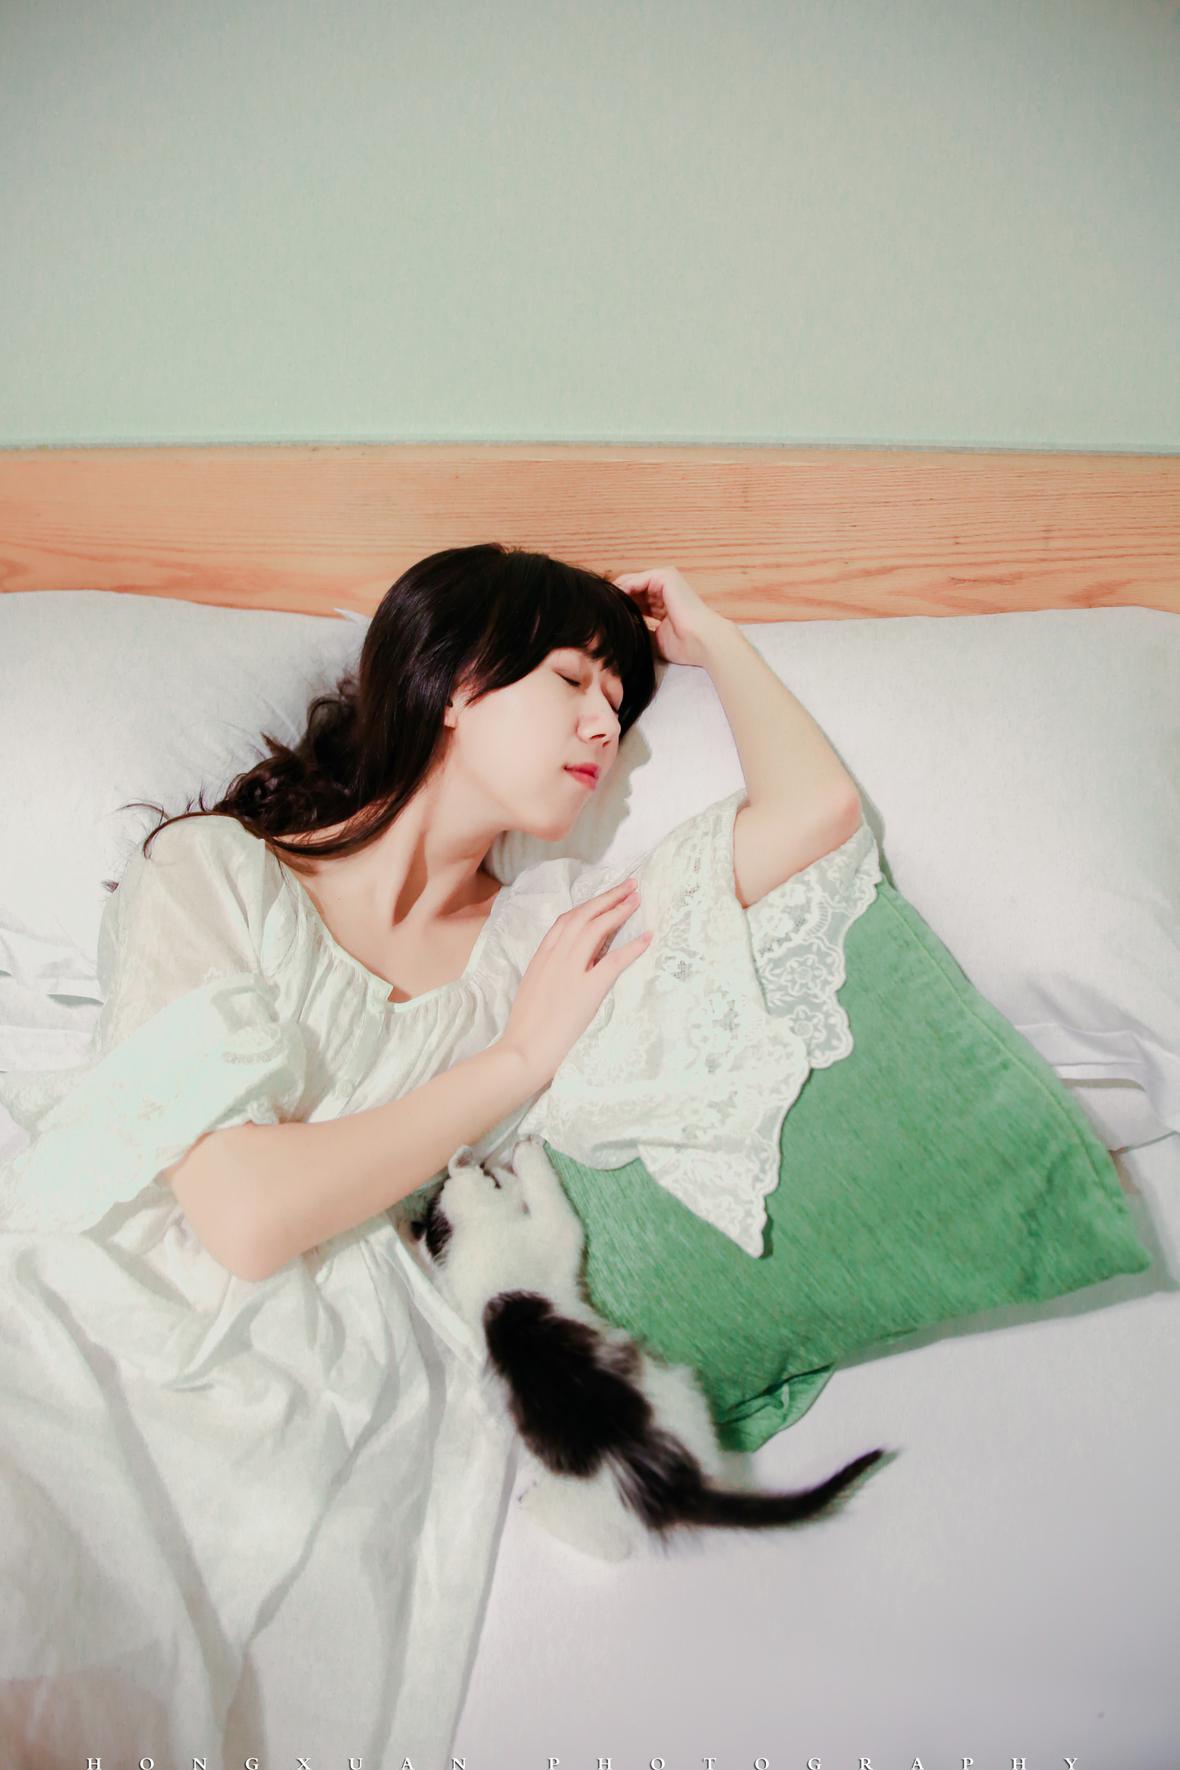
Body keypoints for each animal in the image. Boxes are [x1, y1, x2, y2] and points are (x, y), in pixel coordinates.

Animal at [406, 1135, 896, 1563]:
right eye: (491, 1172)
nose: (497, 1161)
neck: (471, 1244)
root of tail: (661, 1487)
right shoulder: (544, 1240)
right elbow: (555, 1212)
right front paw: (530, 1155)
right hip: (680, 1387)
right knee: (614, 1547)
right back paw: (534, 1502)